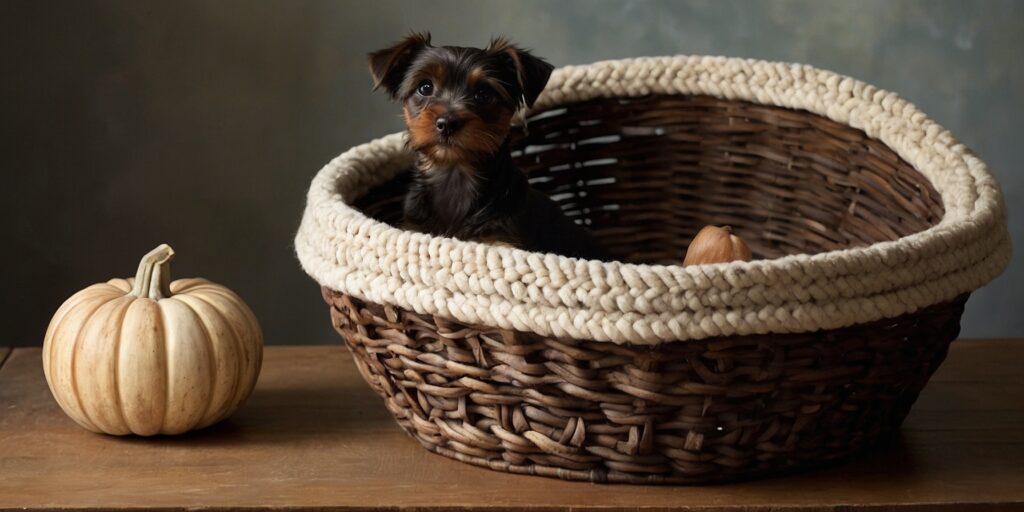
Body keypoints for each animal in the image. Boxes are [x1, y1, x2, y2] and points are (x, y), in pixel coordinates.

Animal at [368, 33, 606, 260]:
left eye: (483, 93)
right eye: (425, 87)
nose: (447, 123)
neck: (454, 172)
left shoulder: (498, 239)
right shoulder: (415, 226)